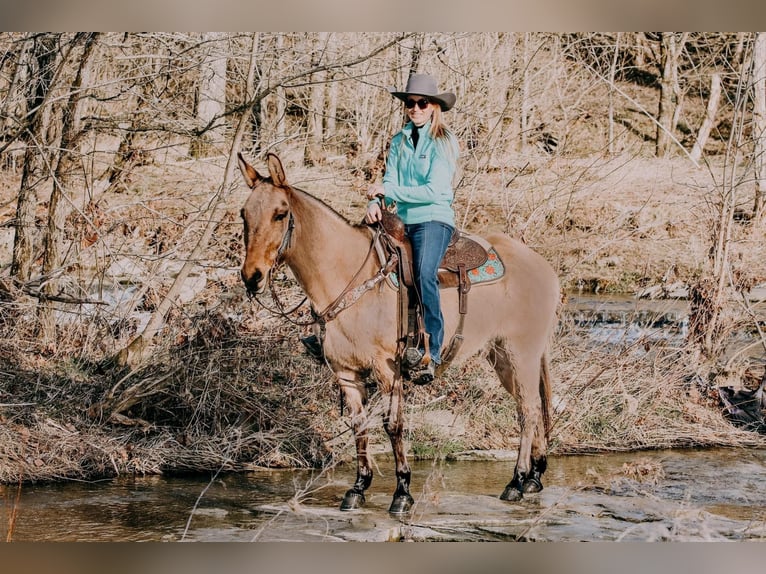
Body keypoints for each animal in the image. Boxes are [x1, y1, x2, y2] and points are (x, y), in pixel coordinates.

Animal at [237, 154, 560, 516]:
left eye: (280, 214)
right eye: (244, 214)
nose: (252, 276)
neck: (348, 276)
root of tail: (543, 265)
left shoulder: (387, 369)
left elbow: (393, 425)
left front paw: (402, 492)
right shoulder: (346, 373)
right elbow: (359, 425)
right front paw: (358, 488)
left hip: (522, 353)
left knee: (528, 410)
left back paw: (516, 481)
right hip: (501, 357)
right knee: (531, 406)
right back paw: (533, 477)